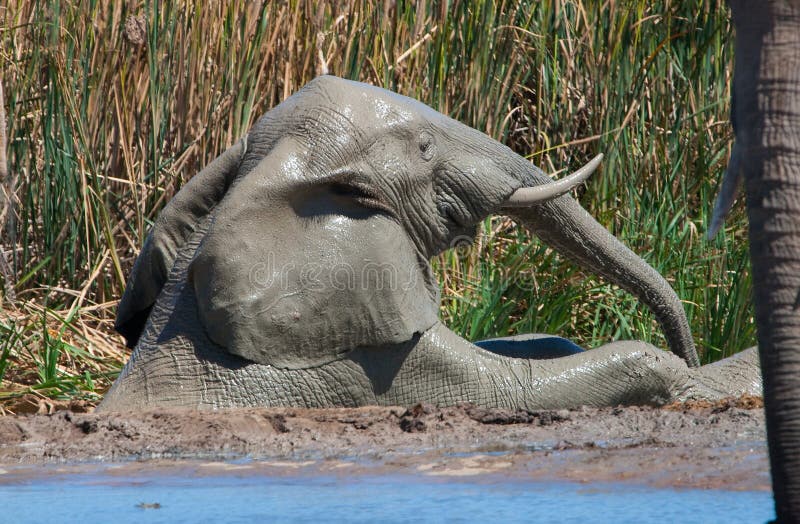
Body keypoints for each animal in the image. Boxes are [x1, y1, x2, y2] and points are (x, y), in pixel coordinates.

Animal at [97, 75, 760, 416]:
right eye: (424, 148)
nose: (691, 347)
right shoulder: (360, 365)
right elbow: (517, 387)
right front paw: (701, 376)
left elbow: (542, 344)